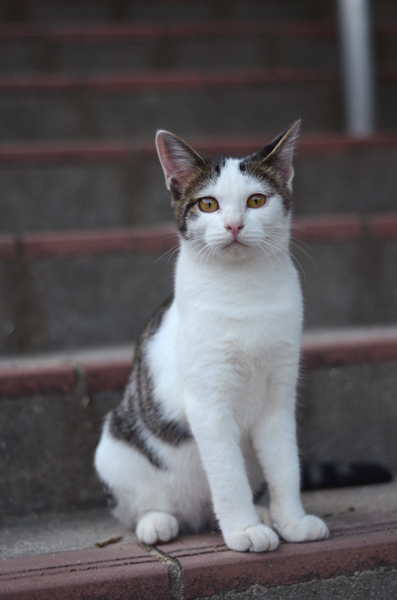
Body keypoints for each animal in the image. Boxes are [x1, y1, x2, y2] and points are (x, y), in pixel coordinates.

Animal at [93, 119, 328, 556]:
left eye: (256, 200)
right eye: (207, 205)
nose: (234, 224)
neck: (244, 289)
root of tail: (199, 516)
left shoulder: (279, 395)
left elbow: (286, 465)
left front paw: (292, 521)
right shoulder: (207, 403)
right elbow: (227, 473)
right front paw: (243, 531)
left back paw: (264, 513)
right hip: (114, 448)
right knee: (138, 506)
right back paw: (158, 522)